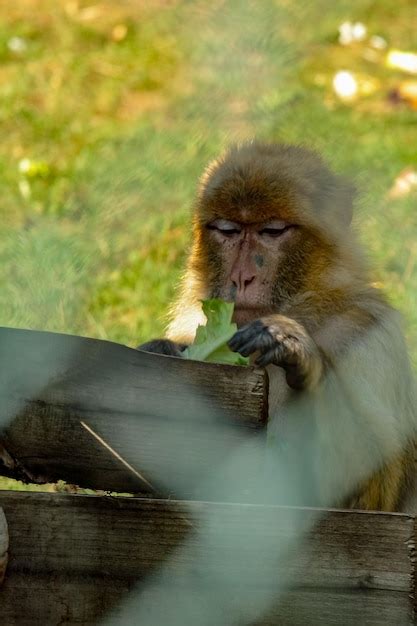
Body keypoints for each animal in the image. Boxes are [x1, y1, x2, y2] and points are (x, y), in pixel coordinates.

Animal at [139, 141, 416, 512]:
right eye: (227, 230)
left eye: (271, 231)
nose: (242, 277)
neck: (305, 308)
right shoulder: (190, 324)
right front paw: (162, 351)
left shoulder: (368, 330)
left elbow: (374, 494)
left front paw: (299, 353)